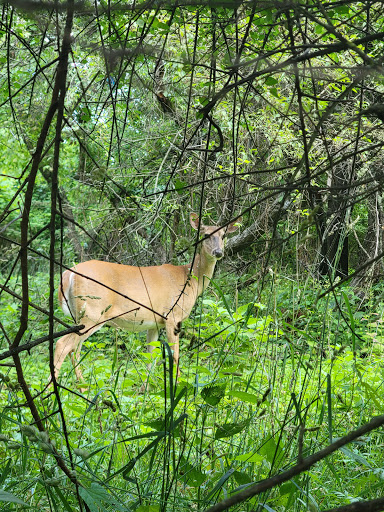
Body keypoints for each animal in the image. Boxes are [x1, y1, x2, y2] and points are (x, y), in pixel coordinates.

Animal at [52, 213, 242, 388]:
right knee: (64, 344)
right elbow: (175, 354)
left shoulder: (154, 323)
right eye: (206, 234)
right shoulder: (173, 315)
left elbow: (151, 357)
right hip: (93, 312)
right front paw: (178, 386)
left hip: (81, 315)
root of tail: (68, 275)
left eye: (223, 235)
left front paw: (145, 389)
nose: (218, 252)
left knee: (73, 349)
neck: (190, 279)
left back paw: (81, 386)